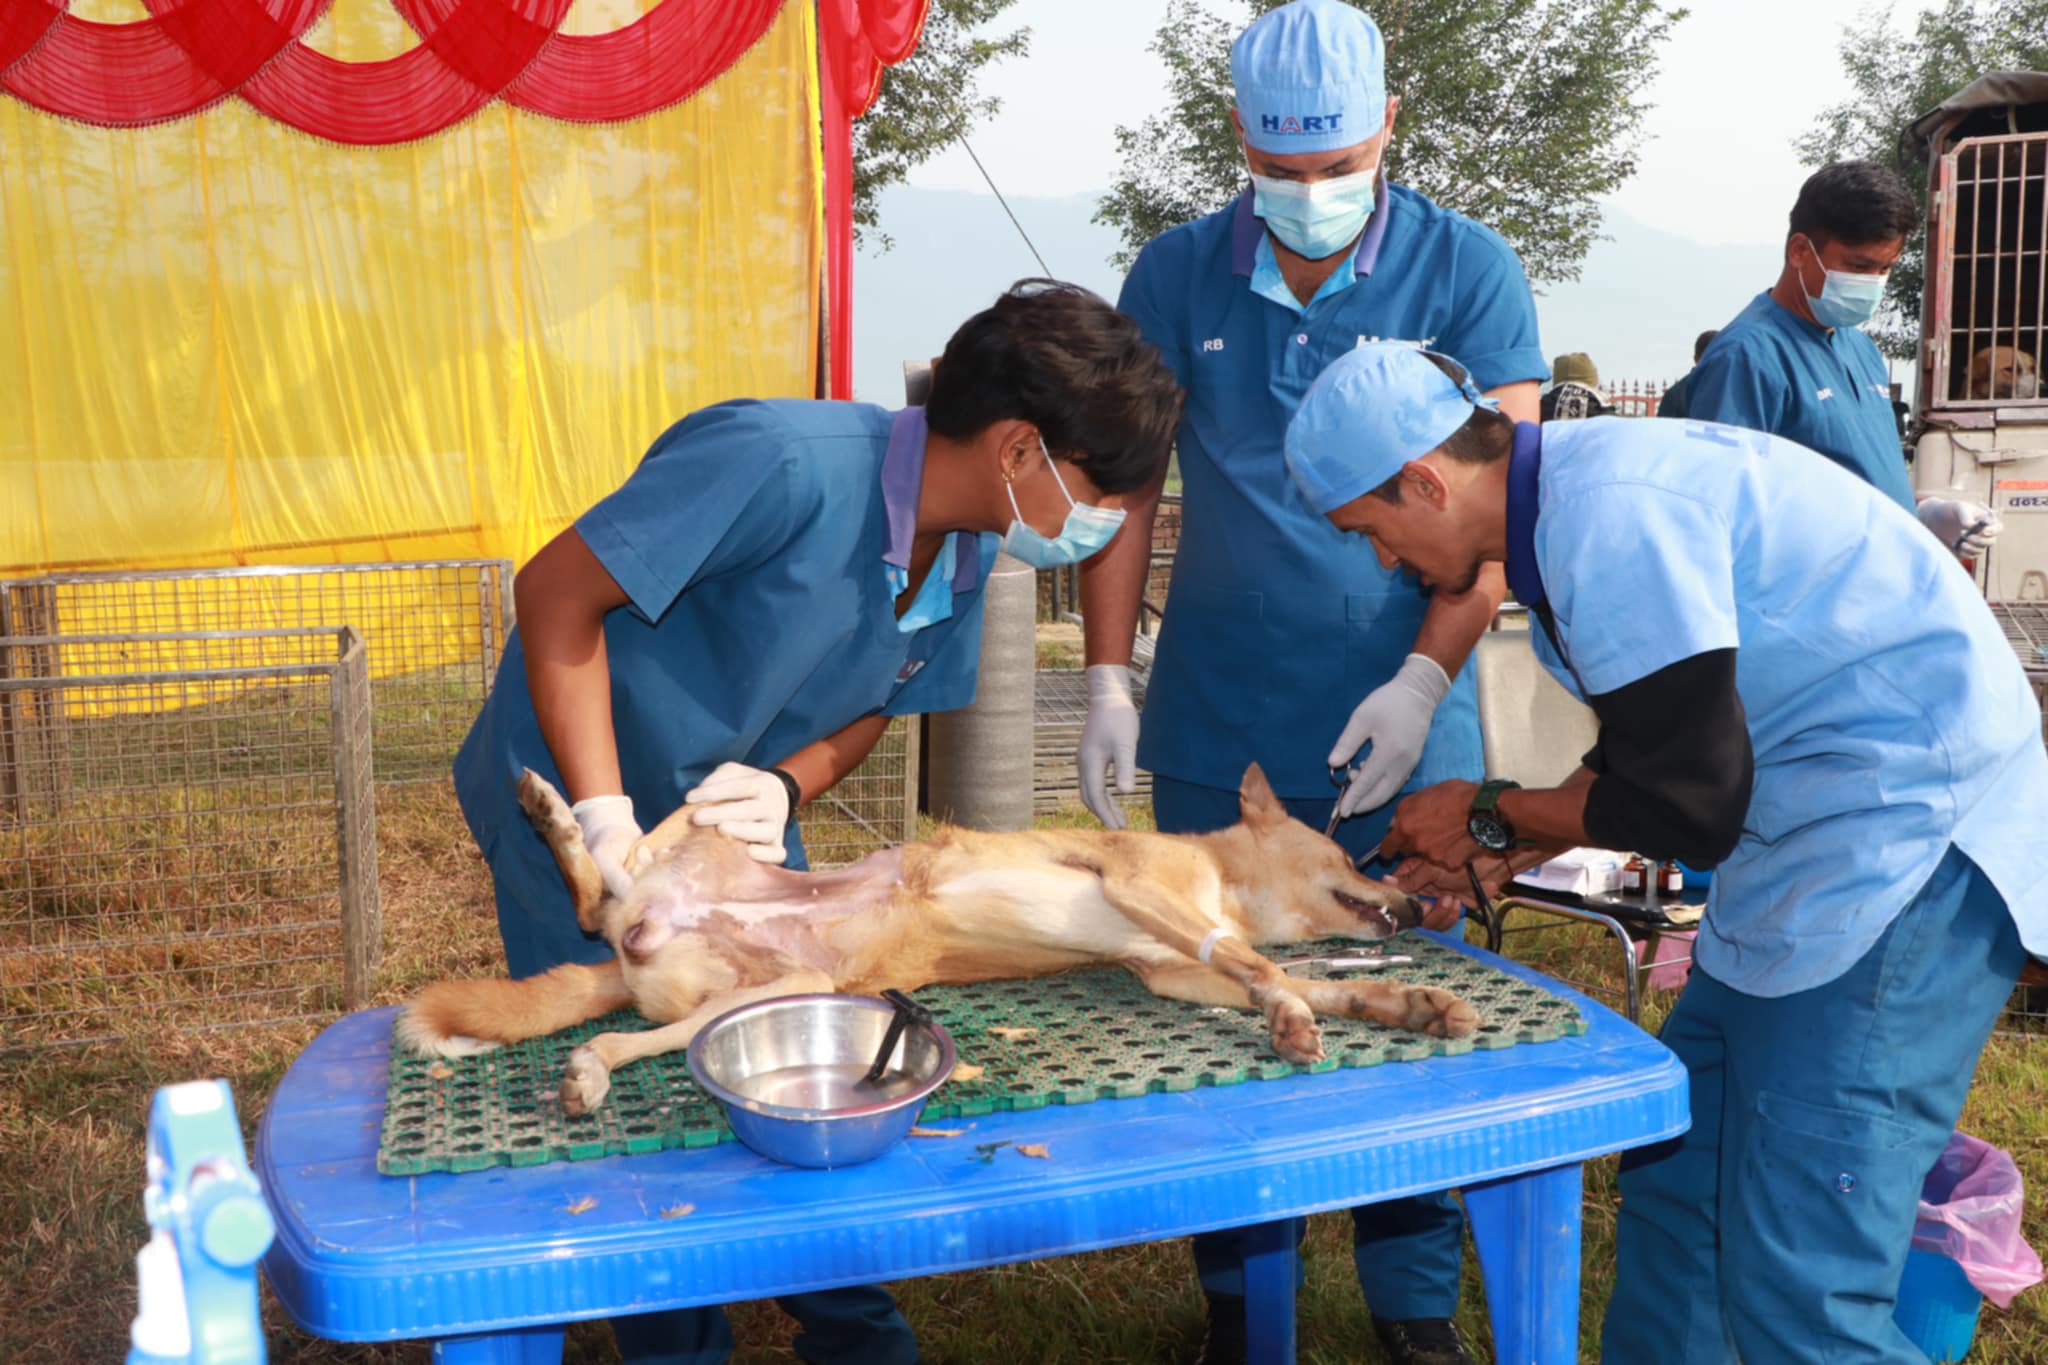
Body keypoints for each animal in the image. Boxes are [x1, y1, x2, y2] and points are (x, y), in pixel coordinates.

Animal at [399, 765, 1482, 1113]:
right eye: (1348, 847)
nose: (1421, 899)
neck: (1222, 881)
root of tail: (636, 947)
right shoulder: (1138, 886)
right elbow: (1258, 963)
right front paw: (1296, 1005)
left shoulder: (1167, 972)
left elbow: (1279, 977)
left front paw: (1402, 1003)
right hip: (695, 837)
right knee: (604, 878)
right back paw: (552, 812)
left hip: (756, 997)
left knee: (622, 1001)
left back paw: (589, 1065)